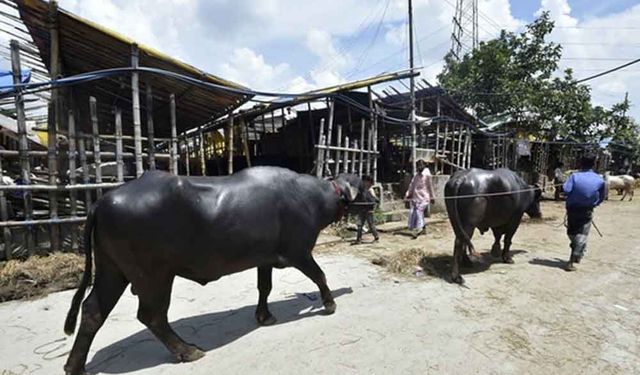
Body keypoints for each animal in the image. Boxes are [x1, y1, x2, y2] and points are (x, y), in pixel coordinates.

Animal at [63, 167, 360, 375]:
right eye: (364, 185)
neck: (310, 197)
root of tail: (101, 202)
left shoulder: (264, 258)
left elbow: (264, 286)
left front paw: (264, 316)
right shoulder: (299, 252)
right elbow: (319, 275)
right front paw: (330, 304)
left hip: (112, 270)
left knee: (93, 311)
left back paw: (75, 366)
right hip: (154, 276)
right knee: (151, 315)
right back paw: (188, 351)